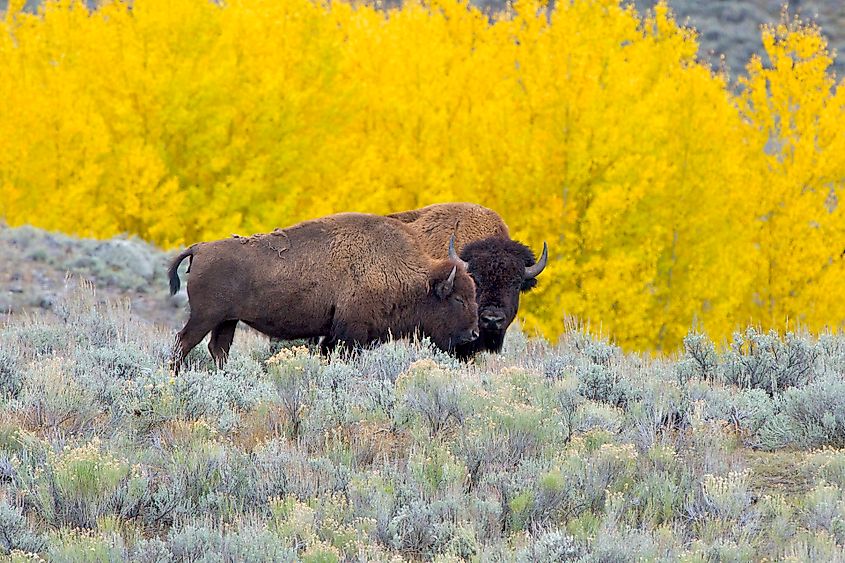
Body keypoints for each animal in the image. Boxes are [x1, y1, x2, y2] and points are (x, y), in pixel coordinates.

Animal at [168, 212, 479, 368]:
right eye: (459, 299)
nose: (474, 334)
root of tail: (200, 248)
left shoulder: (334, 336)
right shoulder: (351, 335)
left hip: (227, 321)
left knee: (217, 348)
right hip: (205, 317)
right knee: (183, 342)